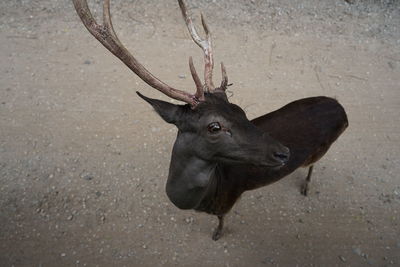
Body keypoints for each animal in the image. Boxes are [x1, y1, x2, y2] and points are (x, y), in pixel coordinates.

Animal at [72, 0, 346, 241]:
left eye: (240, 110)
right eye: (214, 126)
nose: (284, 153)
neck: (200, 199)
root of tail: (342, 110)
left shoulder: (228, 200)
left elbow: (222, 220)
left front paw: (217, 234)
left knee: (312, 165)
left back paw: (306, 186)